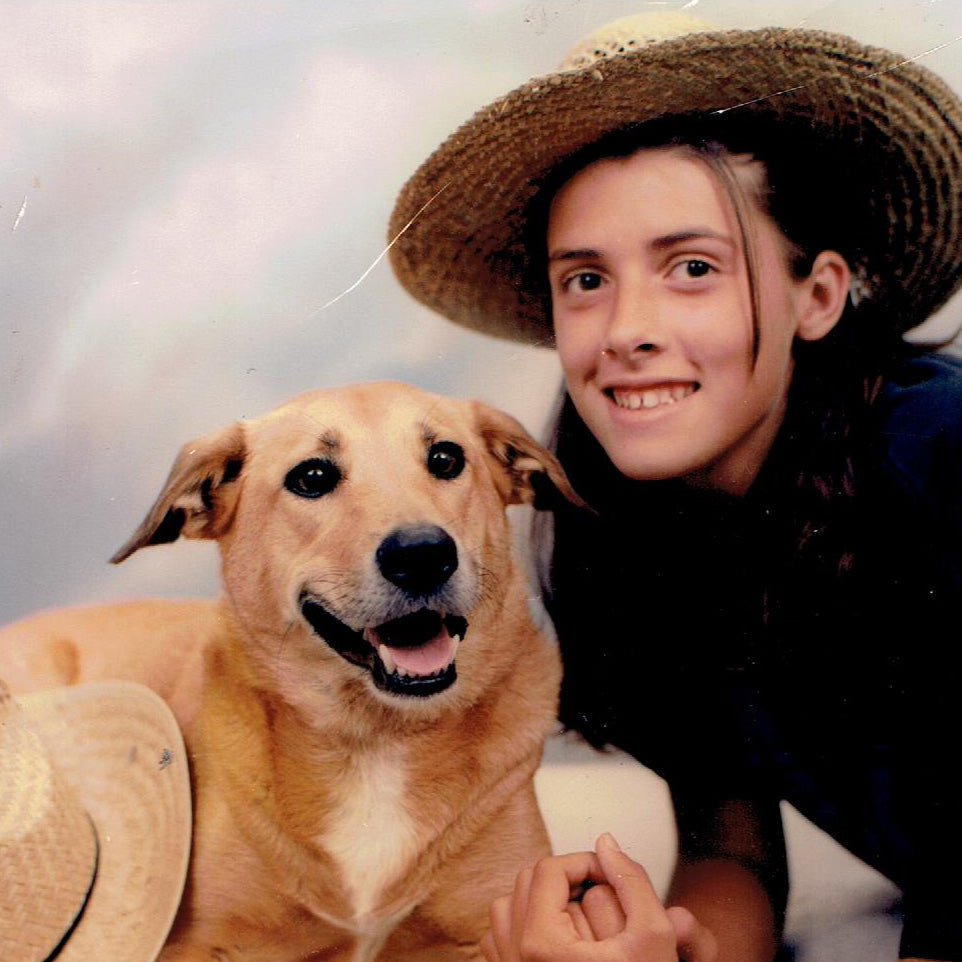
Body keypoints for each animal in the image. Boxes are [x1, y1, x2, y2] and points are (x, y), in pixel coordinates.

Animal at [0, 380, 576, 960]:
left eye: (445, 459)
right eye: (312, 477)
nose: (422, 554)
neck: (375, 739)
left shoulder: (492, 921)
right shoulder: (193, 943)